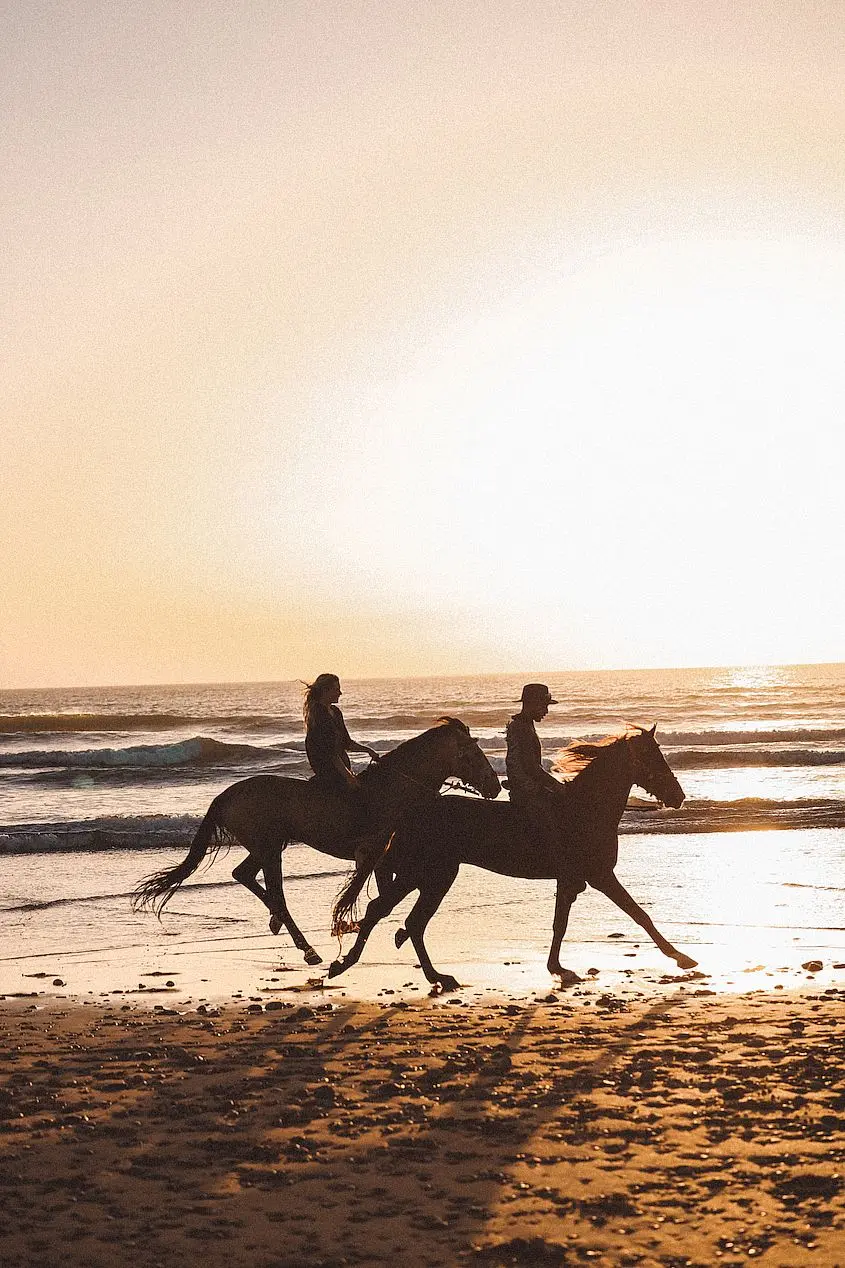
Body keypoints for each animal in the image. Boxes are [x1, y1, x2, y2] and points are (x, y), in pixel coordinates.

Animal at [132, 720, 499, 963]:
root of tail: (227, 795)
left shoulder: (386, 854)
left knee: (244, 874)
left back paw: (277, 922)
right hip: (269, 848)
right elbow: (381, 893)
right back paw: (305, 947)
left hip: (268, 845)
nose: (495, 786)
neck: (397, 788)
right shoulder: (378, 851)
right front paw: (358, 924)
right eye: (473, 754)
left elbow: (385, 892)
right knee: (274, 891)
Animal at [324, 725, 695, 989]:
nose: (678, 796)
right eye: (653, 758)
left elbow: (561, 924)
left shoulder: (572, 881)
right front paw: (682, 958)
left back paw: (429, 976)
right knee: (389, 914)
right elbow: (639, 915)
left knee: (404, 920)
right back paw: (351, 965)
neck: (585, 810)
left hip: (431, 876)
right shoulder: (600, 876)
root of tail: (411, 812)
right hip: (426, 874)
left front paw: (558, 968)